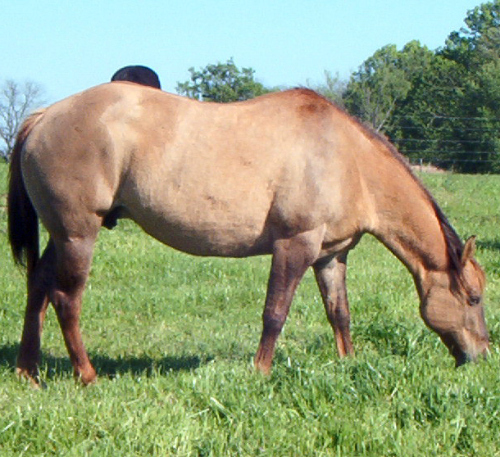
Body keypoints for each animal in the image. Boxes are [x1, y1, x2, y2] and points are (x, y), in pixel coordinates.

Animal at [6, 83, 488, 382]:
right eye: (474, 298)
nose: (482, 357)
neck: (348, 160)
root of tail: (44, 116)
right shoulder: (295, 245)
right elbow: (275, 313)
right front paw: (261, 371)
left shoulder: (331, 255)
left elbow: (340, 313)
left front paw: (348, 364)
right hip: (78, 235)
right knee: (65, 298)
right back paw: (86, 375)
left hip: (60, 236)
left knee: (37, 287)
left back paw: (28, 371)